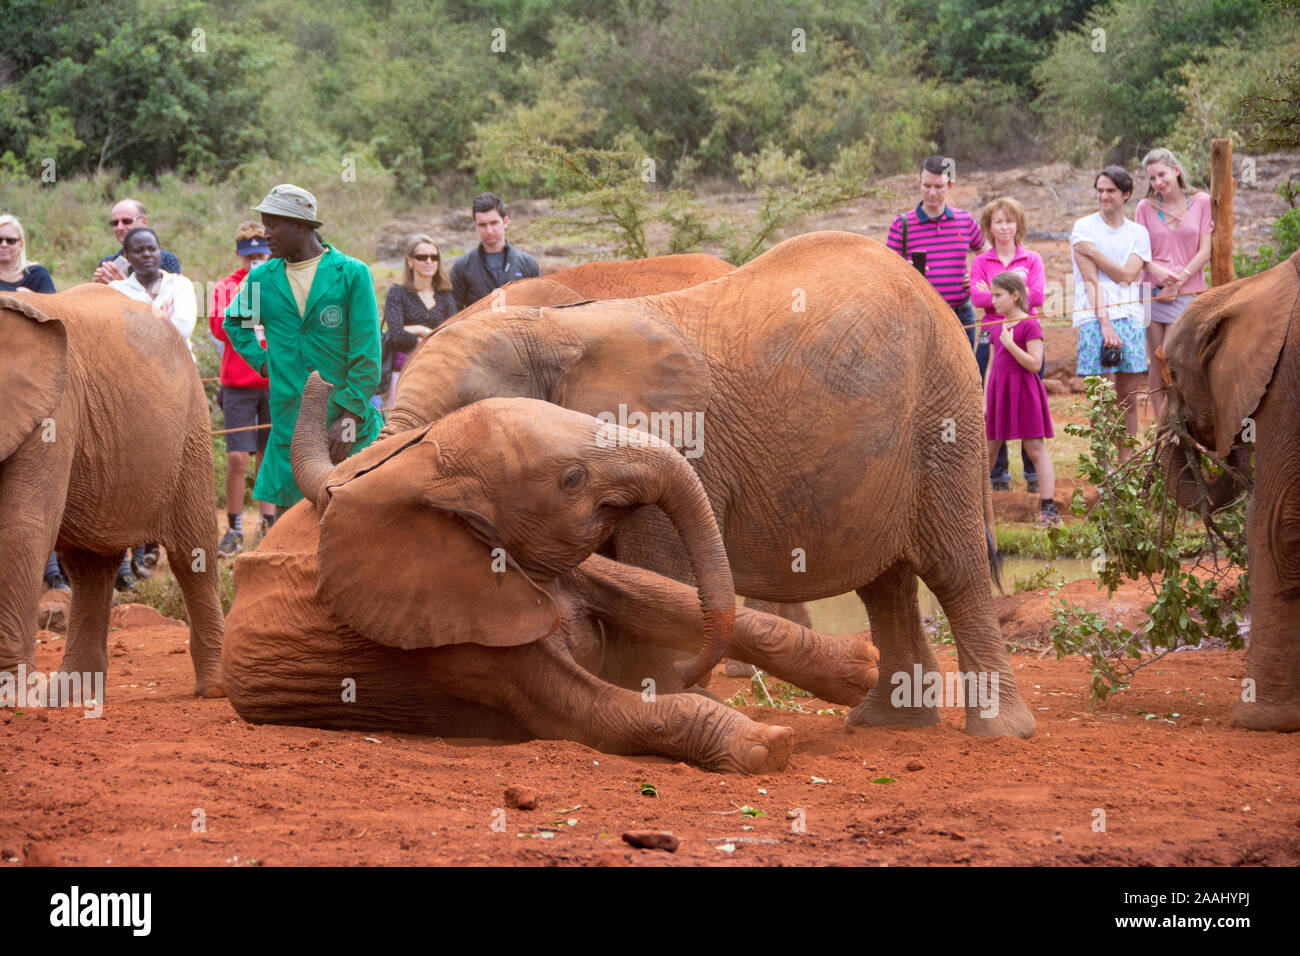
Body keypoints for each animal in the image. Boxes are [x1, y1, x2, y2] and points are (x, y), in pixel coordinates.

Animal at [0, 283, 223, 697]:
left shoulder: (53, 414)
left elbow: (20, 528)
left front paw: (9, 697)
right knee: (89, 568)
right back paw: (69, 697)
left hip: (192, 429)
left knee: (192, 557)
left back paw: (214, 689)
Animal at [223, 377, 878, 775]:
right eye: (572, 480)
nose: (689, 670)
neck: (424, 474)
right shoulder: (454, 637)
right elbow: (594, 715)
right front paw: (766, 745)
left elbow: (656, 598)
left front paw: (865, 669)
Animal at [379, 231, 1029, 738]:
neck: (550, 331)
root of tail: (937, 300)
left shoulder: (674, 438)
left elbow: (653, 566)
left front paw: (668, 694)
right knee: (883, 580)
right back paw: (887, 722)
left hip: (944, 418)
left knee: (953, 569)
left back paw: (998, 731)